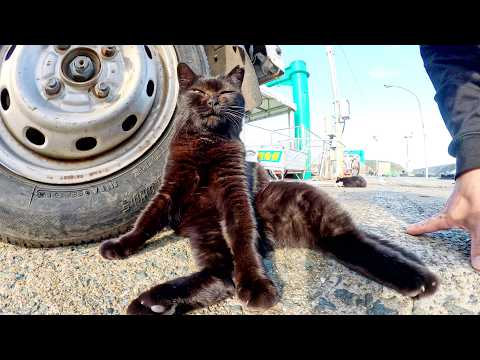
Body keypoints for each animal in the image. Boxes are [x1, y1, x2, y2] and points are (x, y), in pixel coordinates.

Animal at [99, 63, 436, 314]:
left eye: (226, 92)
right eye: (198, 91)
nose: (212, 101)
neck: (207, 143)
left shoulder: (234, 192)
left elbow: (243, 235)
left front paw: (256, 283)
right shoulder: (170, 185)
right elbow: (146, 219)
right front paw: (121, 244)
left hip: (317, 216)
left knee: (358, 243)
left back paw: (420, 280)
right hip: (208, 232)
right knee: (222, 276)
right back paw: (154, 302)